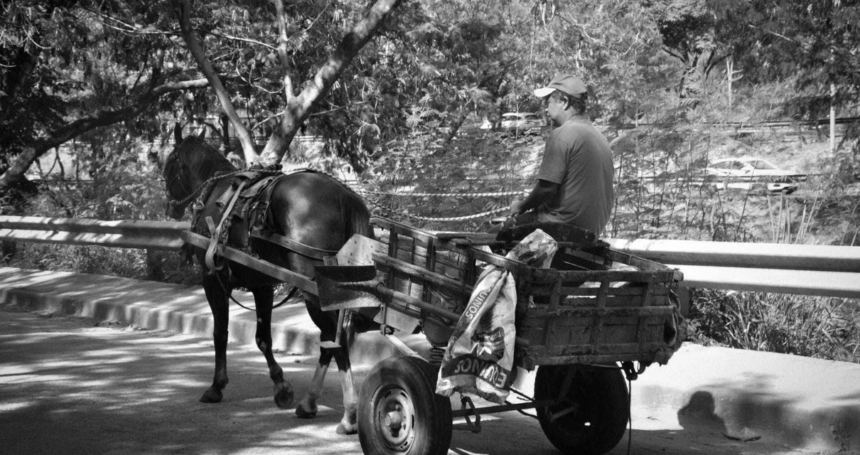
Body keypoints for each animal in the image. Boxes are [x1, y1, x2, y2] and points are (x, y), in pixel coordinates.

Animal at [163, 131, 374, 434]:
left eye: (169, 163)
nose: (170, 206)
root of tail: (344, 195)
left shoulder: (213, 279)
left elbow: (220, 334)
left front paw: (216, 386)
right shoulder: (261, 285)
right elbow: (263, 338)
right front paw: (281, 387)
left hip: (315, 290)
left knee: (337, 341)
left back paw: (349, 414)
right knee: (329, 339)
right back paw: (309, 402)